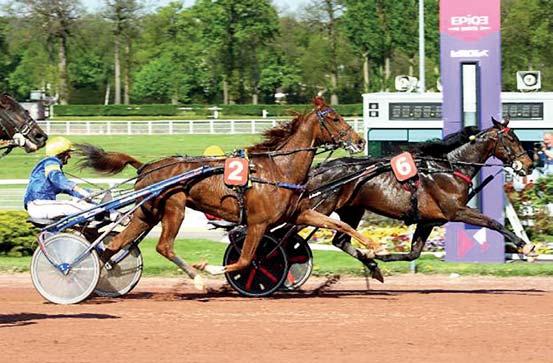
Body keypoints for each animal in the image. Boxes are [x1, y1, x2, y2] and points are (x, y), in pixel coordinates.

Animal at [77, 98, 370, 286]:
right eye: (334, 118)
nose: (359, 140)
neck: (278, 170)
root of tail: (146, 166)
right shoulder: (257, 223)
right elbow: (245, 260)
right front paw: (209, 268)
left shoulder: (299, 214)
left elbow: (339, 225)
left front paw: (371, 246)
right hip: (174, 207)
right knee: (164, 246)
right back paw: (196, 279)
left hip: (145, 214)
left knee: (115, 244)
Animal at [294, 118, 536, 280]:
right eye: (512, 138)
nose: (529, 165)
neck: (448, 168)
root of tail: (318, 169)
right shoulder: (456, 211)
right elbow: (492, 222)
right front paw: (524, 246)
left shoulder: (428, 221)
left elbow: (413, 253)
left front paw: (378, 256)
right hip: (318, 209)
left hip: (352, 210)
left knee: (340, 240)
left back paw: (372, 265)